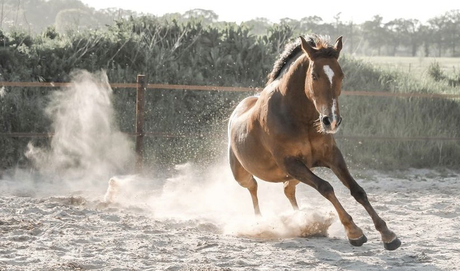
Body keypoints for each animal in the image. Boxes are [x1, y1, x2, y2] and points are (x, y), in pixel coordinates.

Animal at [228, 35, 400, 252]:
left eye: (341, 75)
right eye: (315, 75)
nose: (331, 121)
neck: (297, 115)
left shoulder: (331, 157)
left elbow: (358, 191)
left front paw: (388, 234)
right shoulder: (291, 163)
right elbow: (326, 187)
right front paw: (354, 232)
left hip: (294, 175)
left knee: (288, 190)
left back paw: (300, 218)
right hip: (244, 175)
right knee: (253, 189)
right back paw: (260, 222)